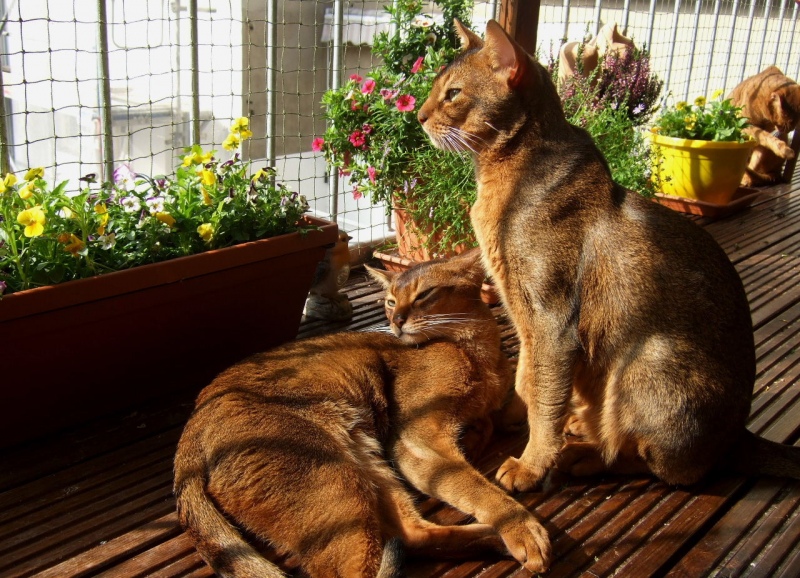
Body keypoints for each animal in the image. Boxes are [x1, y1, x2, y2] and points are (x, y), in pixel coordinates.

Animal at [173, 250, 550, 577]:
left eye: (424, 295)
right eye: (390, 301)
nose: (396, 322)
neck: (477, 352)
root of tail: (191, 431)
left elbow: (488, 420)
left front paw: (475, 435)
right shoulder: (415, 438)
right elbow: (472, 485)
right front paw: (520, 526)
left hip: (368, 459)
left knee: (408, 536)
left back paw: (492, 540)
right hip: (330, 471)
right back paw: (500, 537)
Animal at [418, 17, 800, 546]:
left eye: (452, 93)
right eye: (435, 90)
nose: (418, 116)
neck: (507, 178)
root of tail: (737, 433)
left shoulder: (553, 319)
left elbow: (545, 398)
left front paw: (532, 464)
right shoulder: (524, 315)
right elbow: (528, 379)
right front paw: (513, 416)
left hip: (646, 360)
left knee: (664, 468)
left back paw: (584, 455)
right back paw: (584, 427)